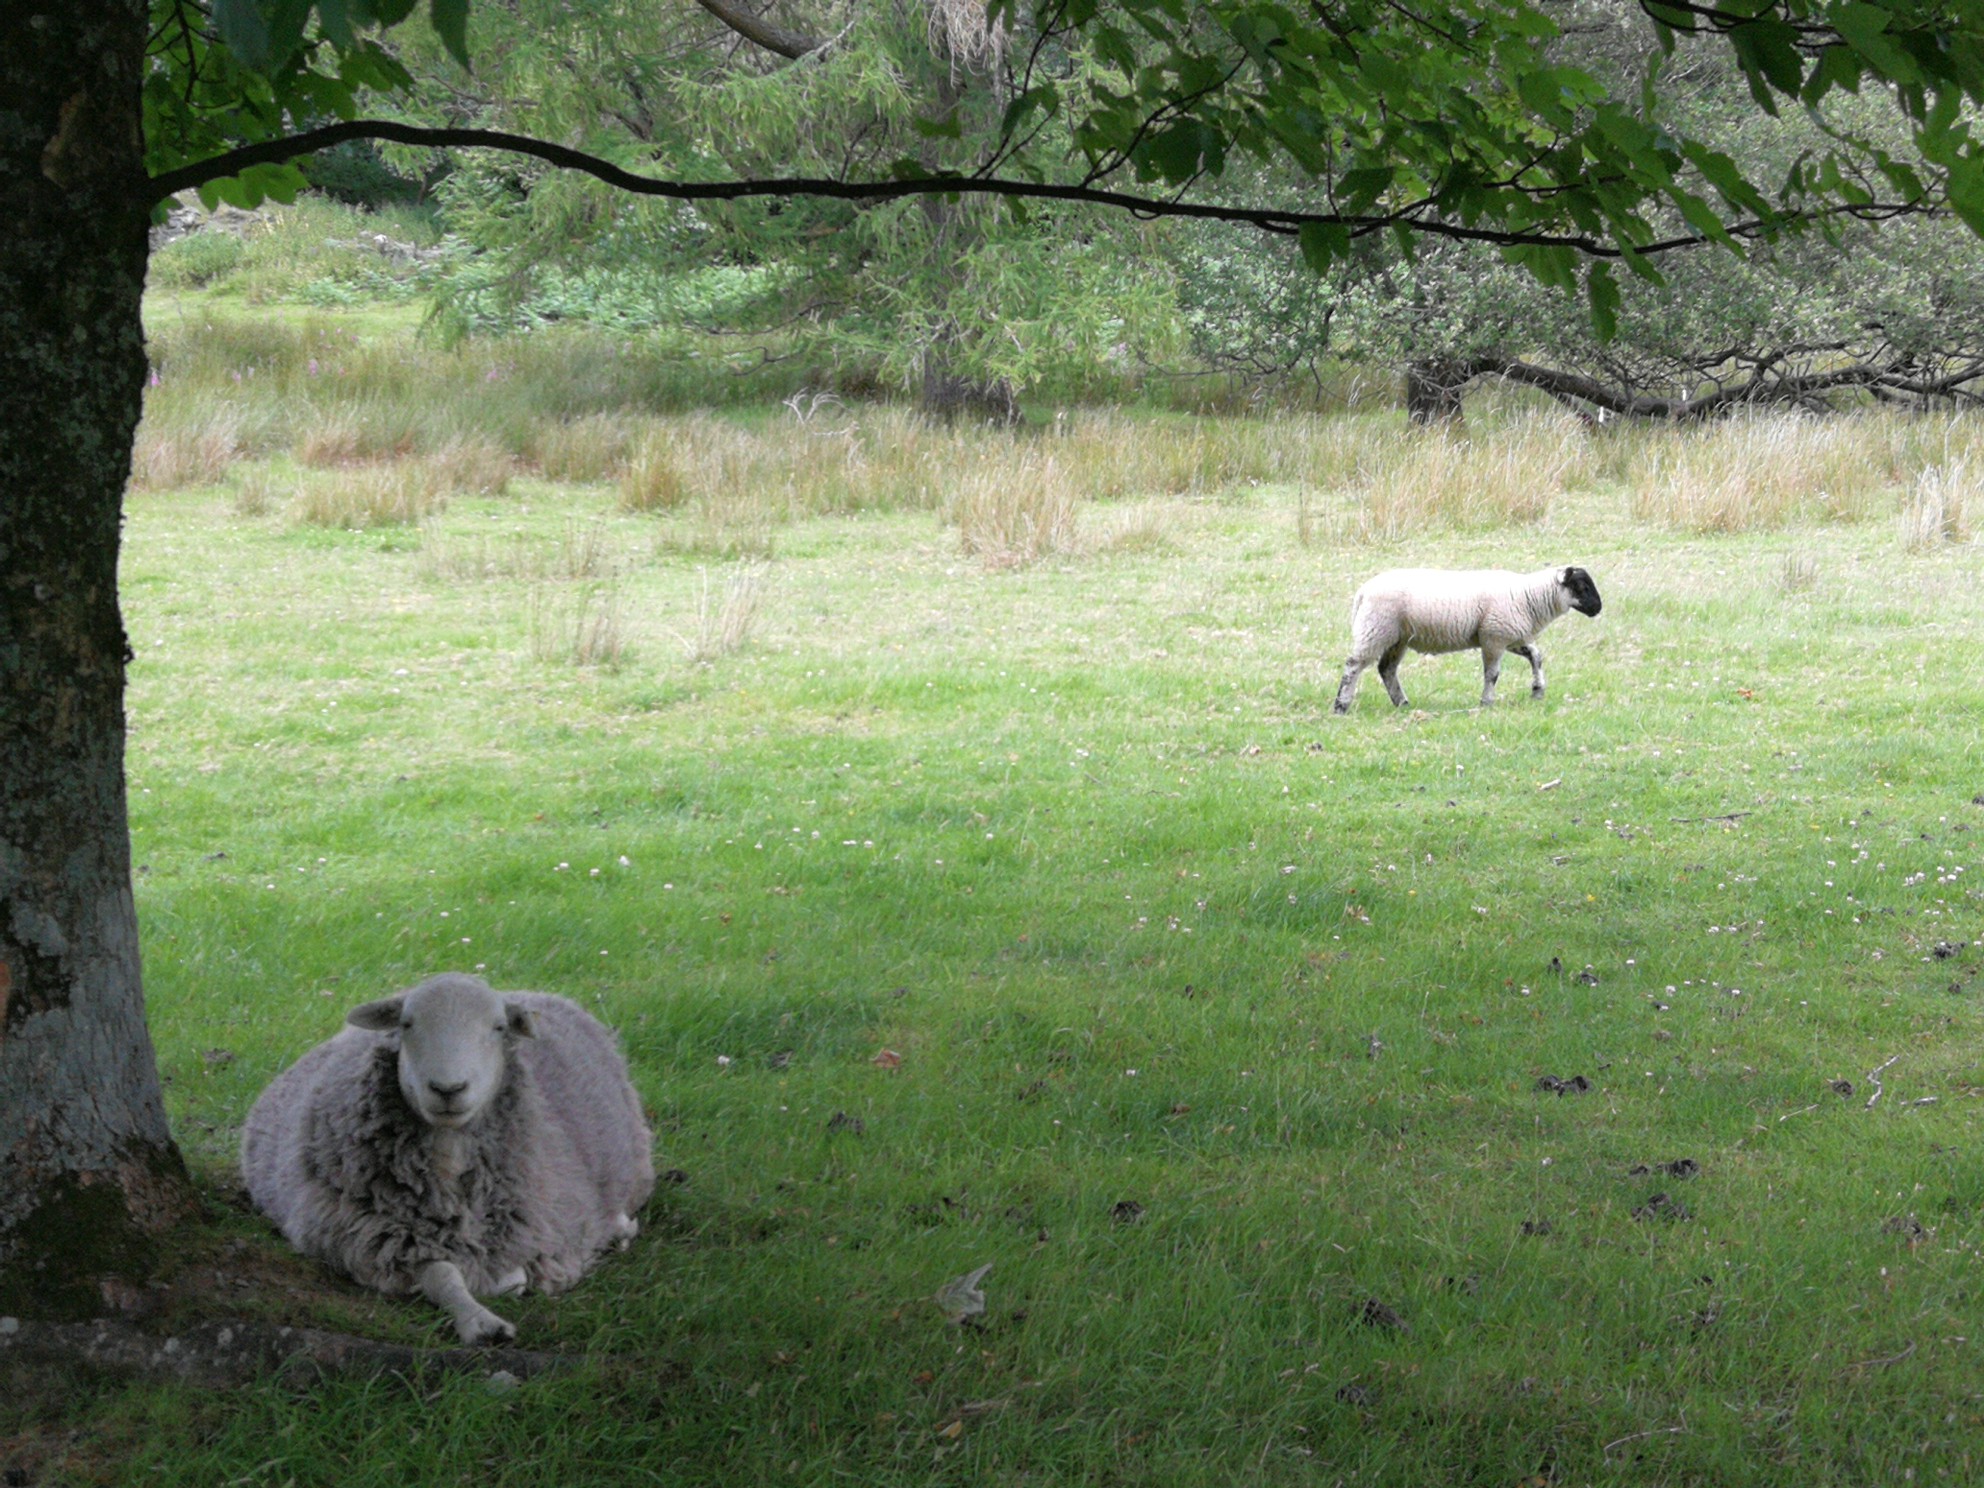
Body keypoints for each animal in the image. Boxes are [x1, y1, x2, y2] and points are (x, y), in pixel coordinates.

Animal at [244, 972, 654, 1349]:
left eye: (498, 1027)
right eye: (406, 1023)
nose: (448, 1089)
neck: (448, 1155)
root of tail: (535, 990)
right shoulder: (373, 1240)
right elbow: (441, 1275)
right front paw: (481, 1321)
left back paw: (619, 1230)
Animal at [1333, 563, 1595, 718]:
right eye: (1581, 586)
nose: (1598, 608)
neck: (1528, 596)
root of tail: (1362, 592)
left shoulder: (1508, 638)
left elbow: (1536, 656)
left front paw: (1537, 690)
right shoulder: (1494, 638)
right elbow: (1493, 674)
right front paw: (1487, 701)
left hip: (1397, 639)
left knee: (1386, 669)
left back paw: (1402, 703)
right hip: (1375, 630)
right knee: (1353, 665)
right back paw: (1341, 705)